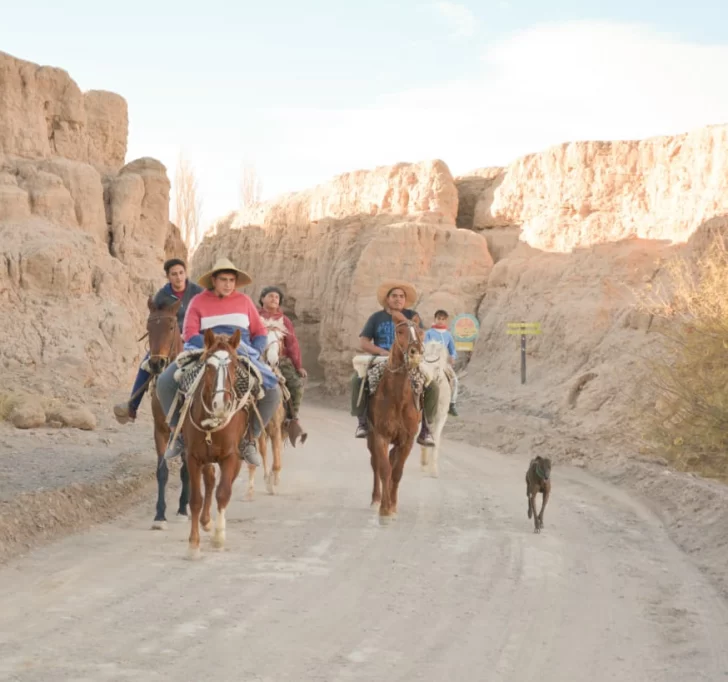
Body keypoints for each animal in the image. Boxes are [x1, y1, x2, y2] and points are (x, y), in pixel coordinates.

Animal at [182, 326, 250, 556]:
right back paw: (205, 521)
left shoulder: (230, 456)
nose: (221, 404)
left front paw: (219, 537)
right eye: (209, 366)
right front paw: (193, 545)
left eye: (234, 364)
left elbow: (223, 493)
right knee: (210, 481)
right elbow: (195, 499)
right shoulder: (193, 457)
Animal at [366, 310, 424, 516]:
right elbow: (384, 469)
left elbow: (397, 472)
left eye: (421, 332)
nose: (415, 353)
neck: (398, 399)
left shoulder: (407, 440)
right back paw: (376, 499)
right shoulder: (380, 436)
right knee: (375, 463)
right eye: (399, 332)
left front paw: (393, 505)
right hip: (370, 436)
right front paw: (384, 508)